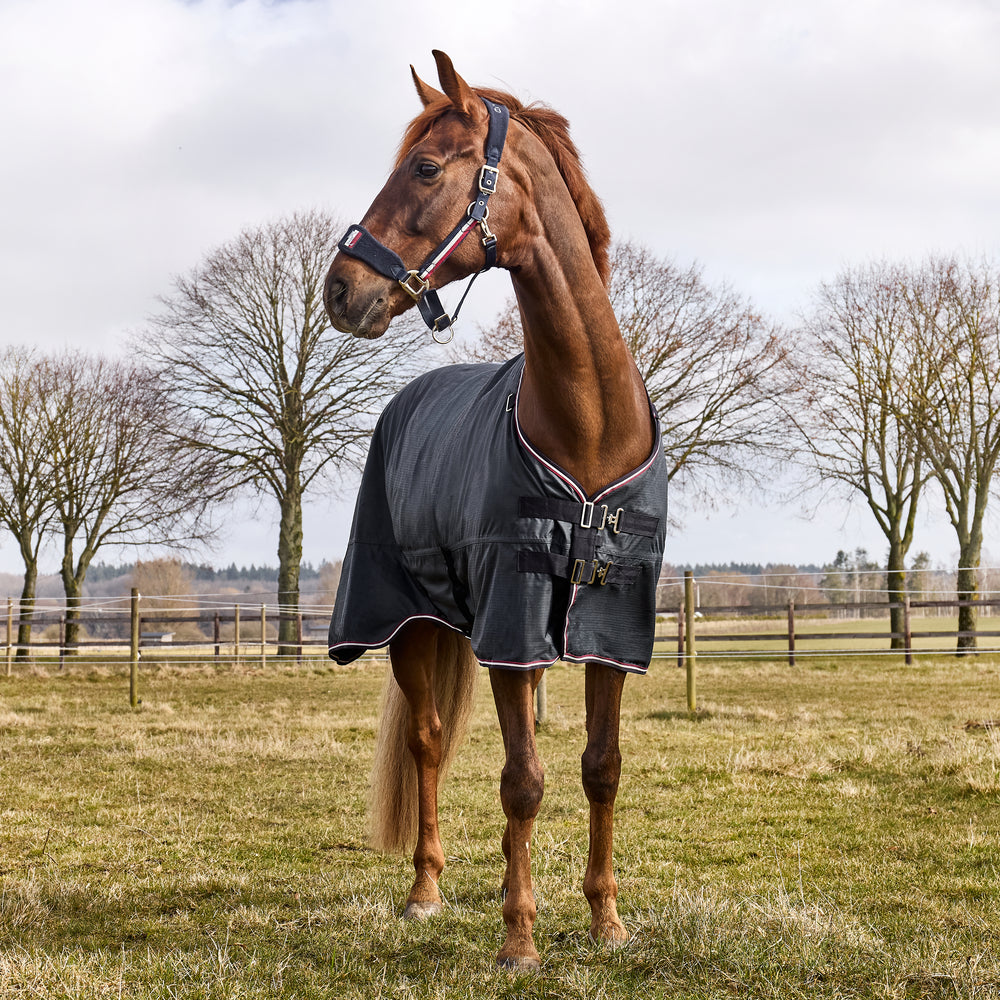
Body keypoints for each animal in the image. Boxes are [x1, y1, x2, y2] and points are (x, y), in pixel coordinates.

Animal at [323, 50, 668, 971]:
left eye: (424, 167)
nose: (340, 290)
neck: (589, 428)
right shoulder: (512, 628)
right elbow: (523, 781)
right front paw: (519, 937)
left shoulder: (611, 630)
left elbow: (600, 767)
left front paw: (605, 921)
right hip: (407, 622)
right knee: (429, 742)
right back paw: (426, 892)